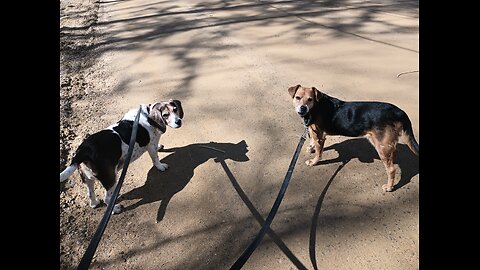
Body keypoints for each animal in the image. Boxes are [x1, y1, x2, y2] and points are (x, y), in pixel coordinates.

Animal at [288, 84, 420, 192]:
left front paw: (314, 161)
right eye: (298, 97)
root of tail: (399, 111)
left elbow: (319, 153)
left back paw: (389, 187)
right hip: (387, 144)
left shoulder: (319, 136)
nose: (303, 108)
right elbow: (313, 142)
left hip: (381, 147)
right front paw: (311, 148)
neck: (316, 105)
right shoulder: (314, 132)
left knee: (391, 169)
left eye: (310, 99)